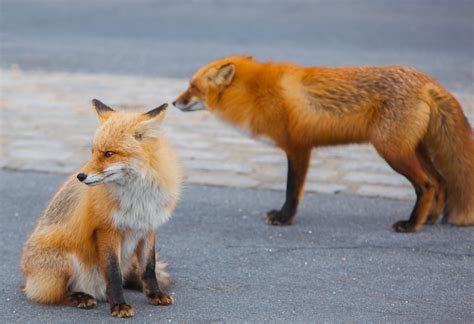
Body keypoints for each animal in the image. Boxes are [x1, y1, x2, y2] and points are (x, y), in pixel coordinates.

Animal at [21, 100, 182, 318]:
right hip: (65, 261)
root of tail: (27, 277)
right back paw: (81, 297)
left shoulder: (148, 228)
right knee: (53, 293)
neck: (138, 196)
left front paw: (154, 294)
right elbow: (113, 274)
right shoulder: (107, 229)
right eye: (93, 152)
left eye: (108, 153)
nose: (81, 176)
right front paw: (119, 305)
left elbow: (149, 268)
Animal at [174, 56, 474, 233]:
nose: (174, 102)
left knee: (426, 185)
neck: (254, 92)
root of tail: (427, 81)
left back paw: (412, 225)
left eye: (193, 87)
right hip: (415, 150)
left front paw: (284, 219)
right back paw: (430, 219)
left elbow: (292, 191)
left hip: (393, 152)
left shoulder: (298, 148)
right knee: (441, 181)